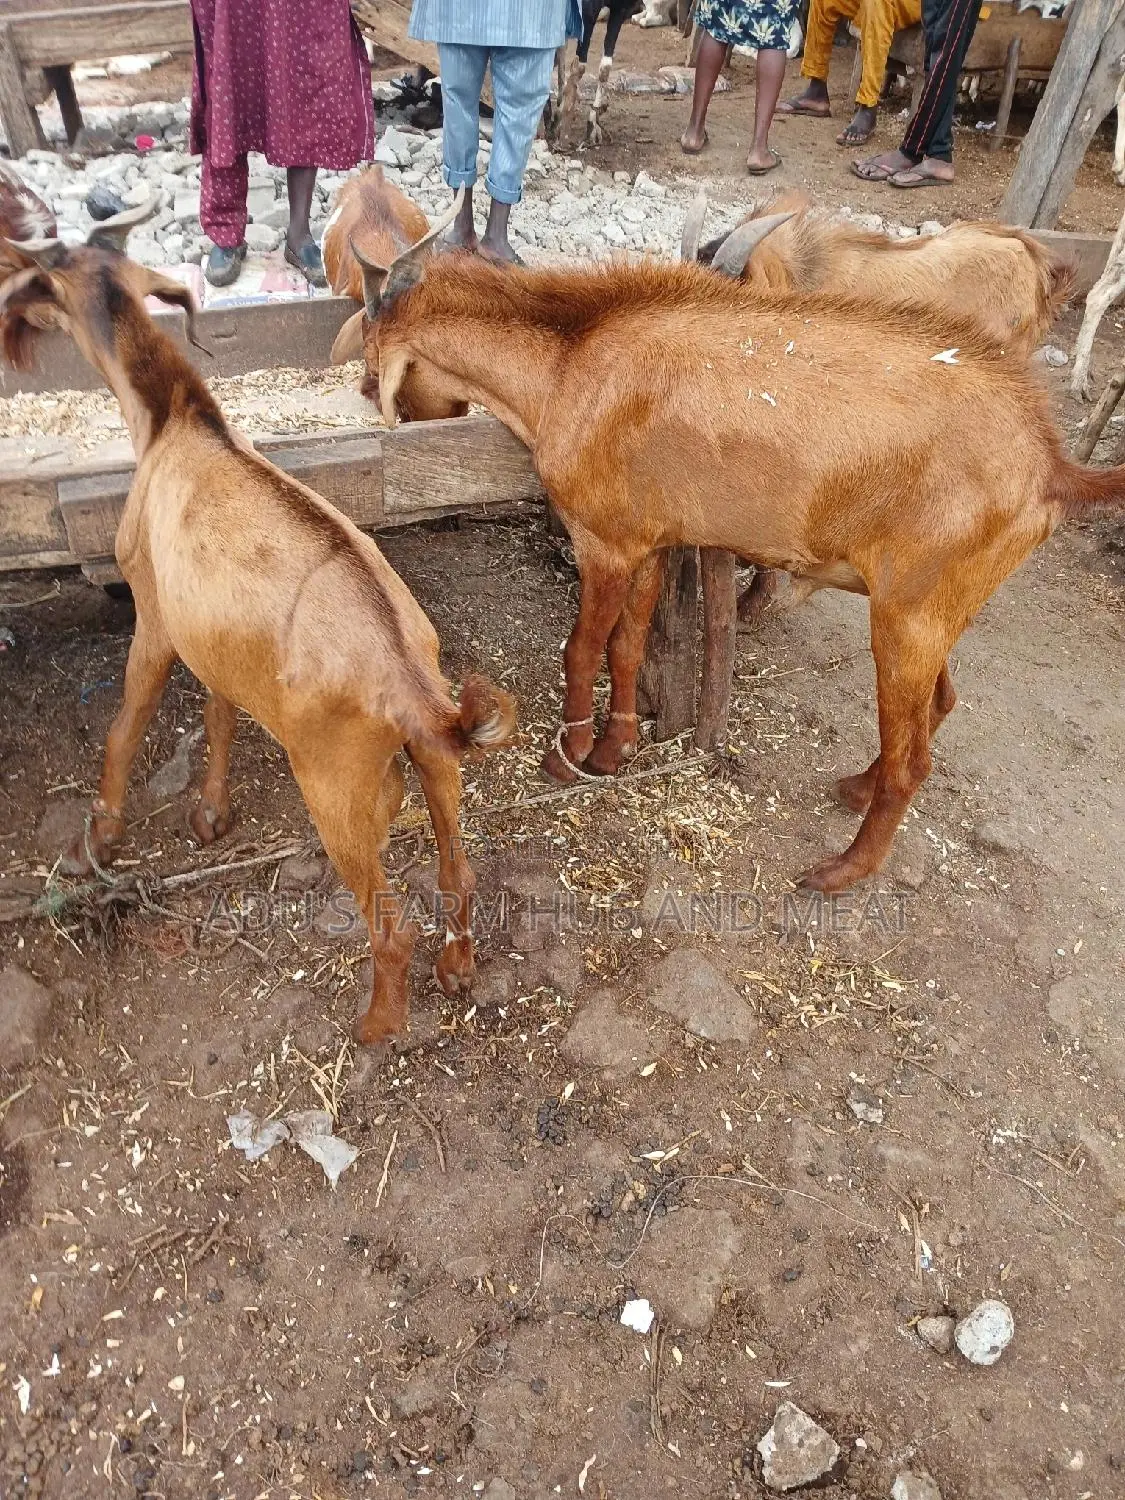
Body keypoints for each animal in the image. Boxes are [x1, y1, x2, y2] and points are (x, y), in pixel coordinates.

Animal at [0, 202, 515, 1046]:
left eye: (48, 278)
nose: (16, 317)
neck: (178, 423)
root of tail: (412, 690)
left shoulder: (156, 615)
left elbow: (125, 726)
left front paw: (95, 842)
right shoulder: (216, 638)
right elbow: (219, 714)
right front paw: (211, 814)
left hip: (335, 786)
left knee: (391, 925)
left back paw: (376, 1024)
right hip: (438, 763)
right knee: (459, 876)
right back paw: (457, 970)